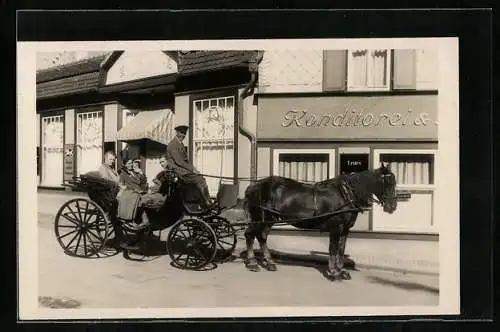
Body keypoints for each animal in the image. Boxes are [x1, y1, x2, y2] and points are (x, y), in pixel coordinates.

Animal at [243, 163, 398, 280]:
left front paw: (341, 271)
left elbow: (341, 249)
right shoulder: (336, 227)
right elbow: (333, 249)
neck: (345, 194)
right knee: (250, 235)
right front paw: (333, 272)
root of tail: (254, 186)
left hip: (269, 219)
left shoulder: (345, 229)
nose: (392, 207)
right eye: (387, 182)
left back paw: (269, 262)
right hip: (260, 218)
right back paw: (252, 263)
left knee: (262, 237)